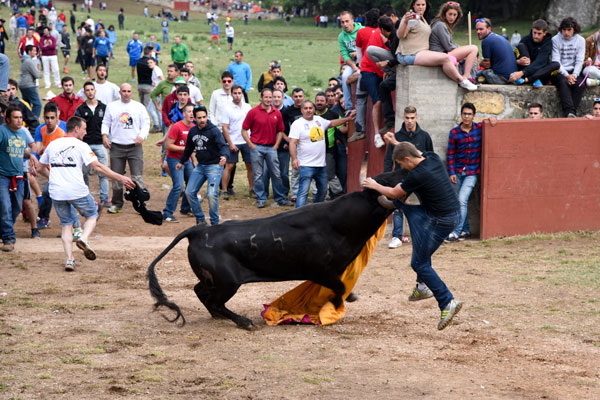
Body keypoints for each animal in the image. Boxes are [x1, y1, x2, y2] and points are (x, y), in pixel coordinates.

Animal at [148, 169, 406, 328]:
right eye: (388, 181)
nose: (406, 171)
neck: (339, 222)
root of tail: (197, 231)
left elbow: (342, 287)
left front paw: (346, 298)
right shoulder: (321, 271)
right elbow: (340, 287)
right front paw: (335, 305)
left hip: (214, 280)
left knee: (200, 291)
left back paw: (219, 317)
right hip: (227, 282)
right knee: (214, 300)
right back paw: (243, 322)